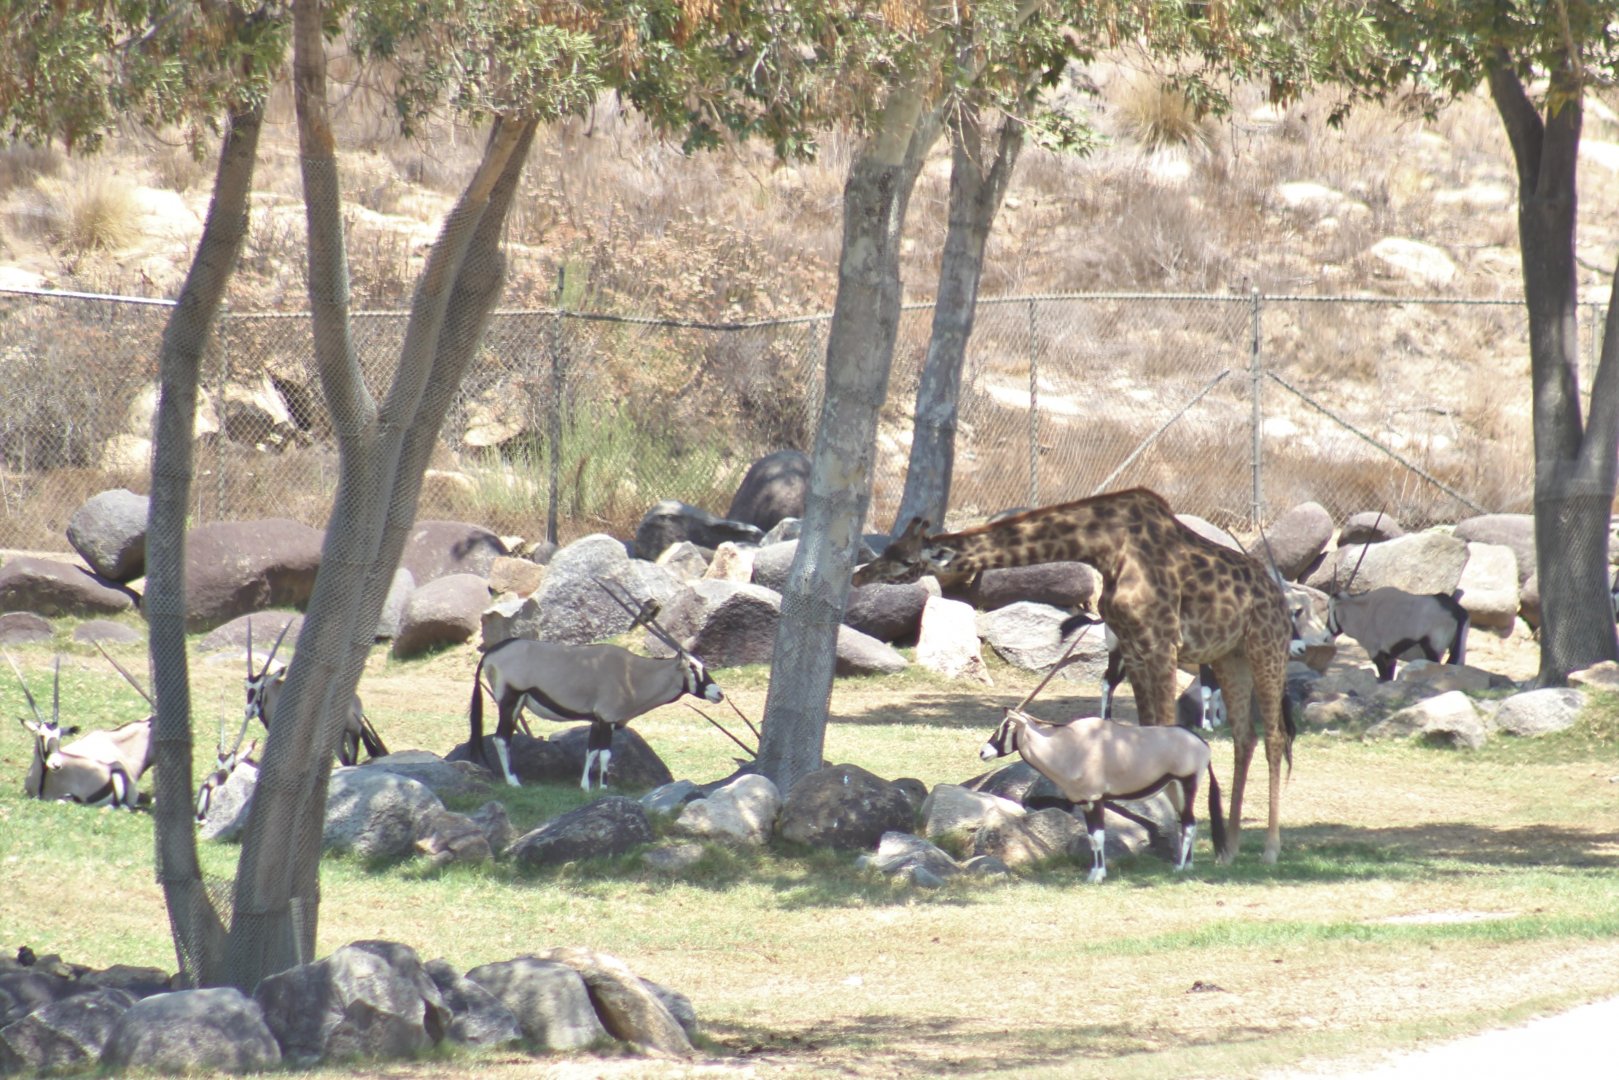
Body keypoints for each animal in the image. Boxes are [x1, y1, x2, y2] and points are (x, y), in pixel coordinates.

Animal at [853, 487, 1295, 864]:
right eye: (889, 548)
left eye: (907, 560)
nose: (859, 576)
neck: (1105, 548)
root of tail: (1279, 596)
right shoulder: (1135, 648)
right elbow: (1149, 730)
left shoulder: (1161, 644)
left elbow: (1166, 729)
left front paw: (1173, 842)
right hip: (1229, 657)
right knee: (1245, 737)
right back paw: (1230, 848)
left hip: (1265, 647)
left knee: (1274, 736)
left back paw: (1271, 850)